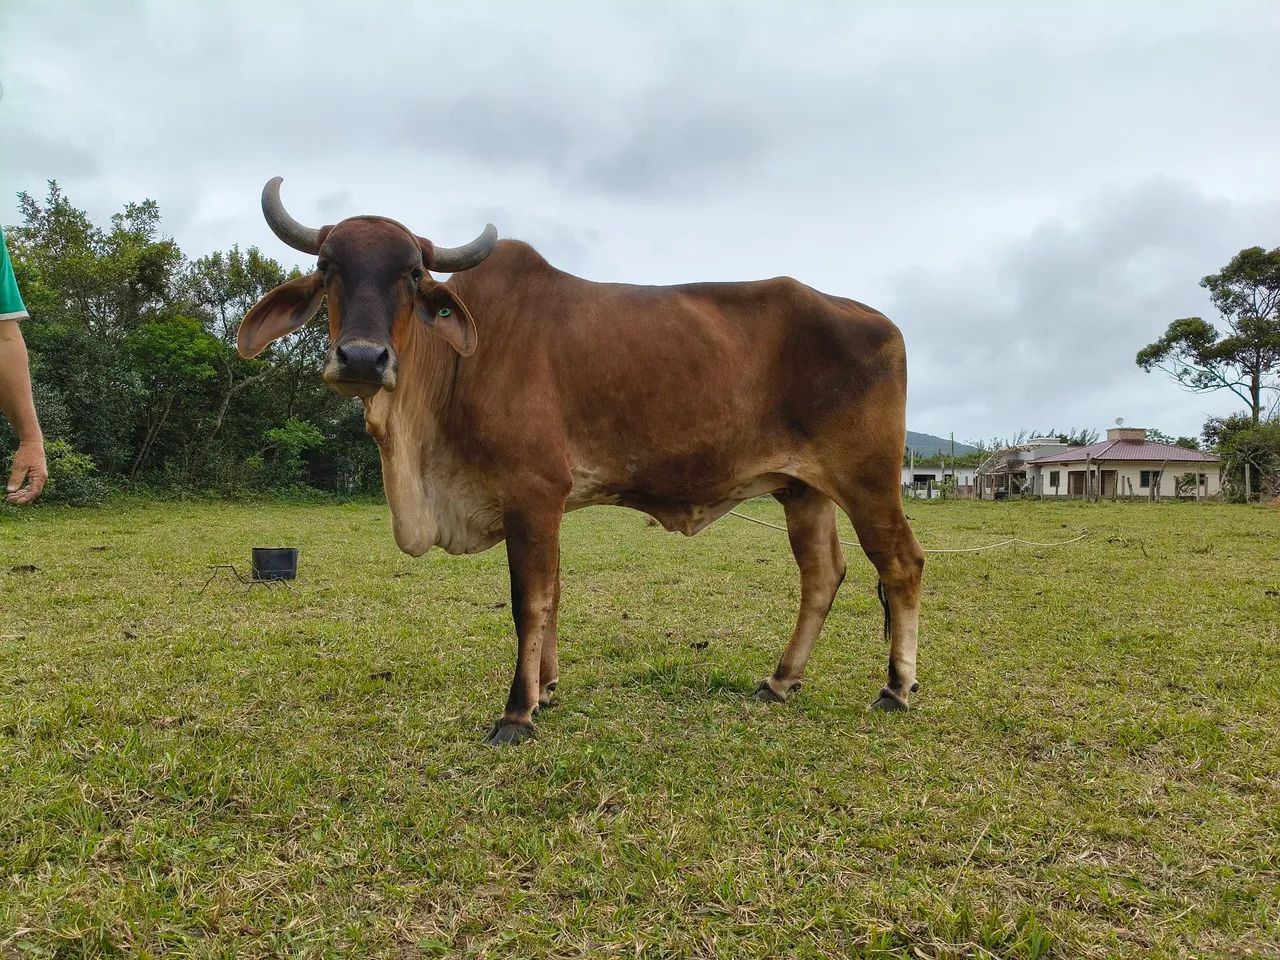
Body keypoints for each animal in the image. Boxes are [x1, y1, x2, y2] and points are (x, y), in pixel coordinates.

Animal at [238, 178, 924, 746]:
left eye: (411, 272)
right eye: (327, 265)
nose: (361, 358)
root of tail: (879, 320)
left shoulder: (532, 493)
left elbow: (531, 600)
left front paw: (517, 712)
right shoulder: (549, 504)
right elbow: (555, 594)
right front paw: (546, 690)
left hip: (867, 481)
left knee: (901, 564)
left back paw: (896, 688)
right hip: (802, 490)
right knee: (823, 574)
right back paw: (780, 681)